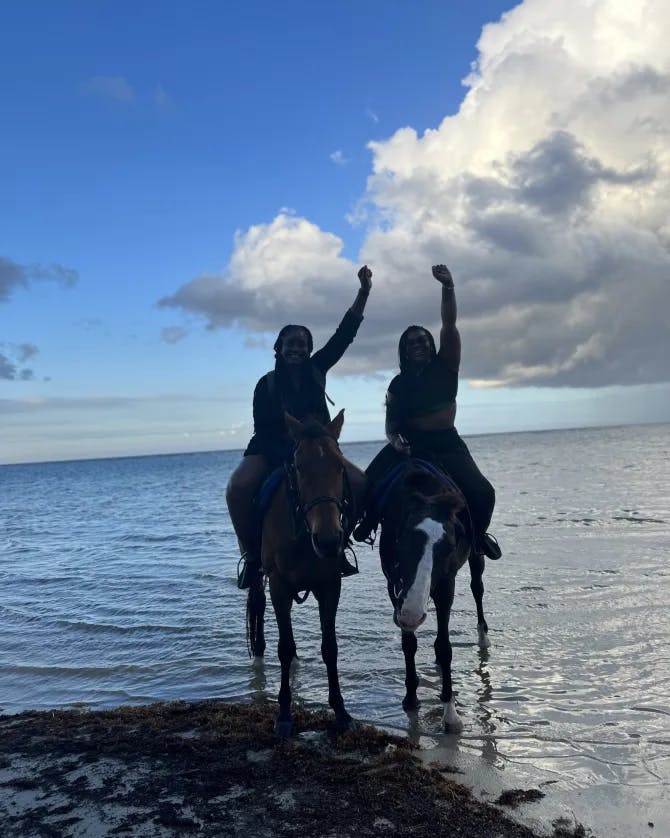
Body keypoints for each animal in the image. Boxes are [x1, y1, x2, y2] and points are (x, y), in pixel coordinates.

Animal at [248, 410, 362, 740]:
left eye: (339, 465)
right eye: (299, 467)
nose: (328, 540)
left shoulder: (330, 586)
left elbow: (330, 647)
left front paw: (340, 710)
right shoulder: (279, 587)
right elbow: (284, 648)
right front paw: (284, 714)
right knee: (257, 604)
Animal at [378, 462, 488, 732]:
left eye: (448, 546)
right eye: (403, 537)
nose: (412, 613)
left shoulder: (447, 584)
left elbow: (445, 646)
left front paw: (451, 715)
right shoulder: (393, 585)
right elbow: (409, 644)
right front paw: (410, 699)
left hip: (476, 557)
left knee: (477, 587)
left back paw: (483, 637)